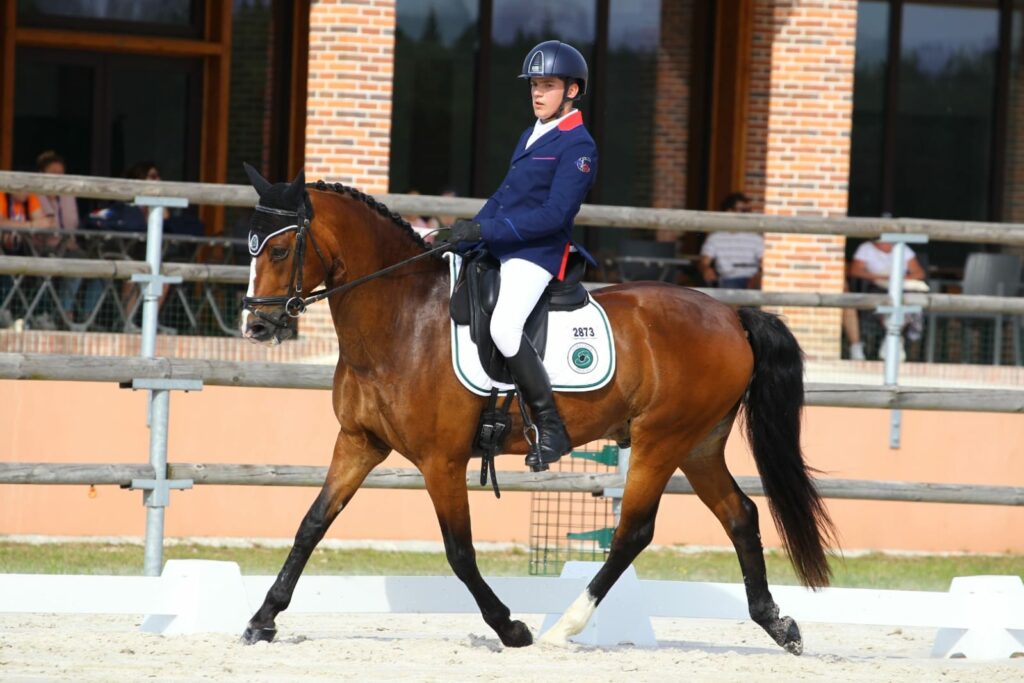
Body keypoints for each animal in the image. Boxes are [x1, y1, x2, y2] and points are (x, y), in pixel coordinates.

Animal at [241, 166, 839, 655]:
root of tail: (730, 315)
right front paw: (262, 620)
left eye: (278, 251)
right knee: (740, 515)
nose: (256, 325)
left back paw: (563, 627)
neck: (402, 318)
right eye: (249, 247)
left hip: (661, 439)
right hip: (698, 444)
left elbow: (459, 551)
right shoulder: (358, 442)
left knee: (633, 532)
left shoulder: (441, 460)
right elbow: (311, 525)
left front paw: (511, 628)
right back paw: (778, 625)